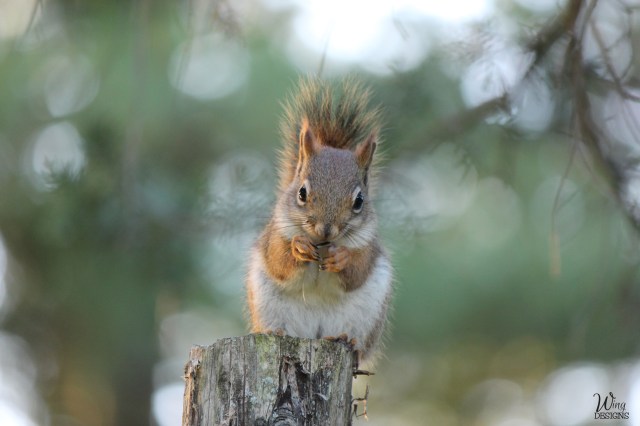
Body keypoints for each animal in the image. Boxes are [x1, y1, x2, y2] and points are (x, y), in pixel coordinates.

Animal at [245, 78, 393, 362]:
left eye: (359, 201)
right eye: (302, 193)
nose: (326, 230)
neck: (321, 243)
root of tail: (313, 336)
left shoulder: (368, 244)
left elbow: (357, 271)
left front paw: (341, 257)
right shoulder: (275, 234)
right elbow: (278, 260)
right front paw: (298, 248)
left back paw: (347, 340)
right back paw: (276, 332)